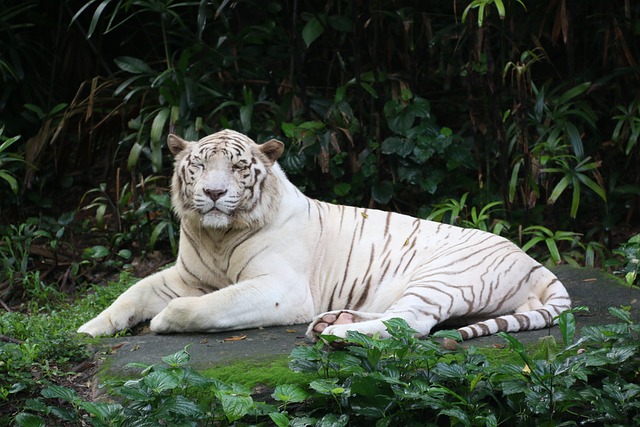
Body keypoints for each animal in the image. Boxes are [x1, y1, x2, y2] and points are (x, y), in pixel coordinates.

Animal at [77, 129, 572, 342]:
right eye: (198, 165)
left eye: (238, 167)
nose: (214, 193)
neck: (217, 236)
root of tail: (536, 263)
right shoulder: (185, 276)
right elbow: (131, 293)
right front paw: (89, 328)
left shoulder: (281, 289)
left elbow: (208, 306)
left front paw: (164, 321)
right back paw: (333, 321)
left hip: (442, 276)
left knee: (411, 323)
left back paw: (333, 333)